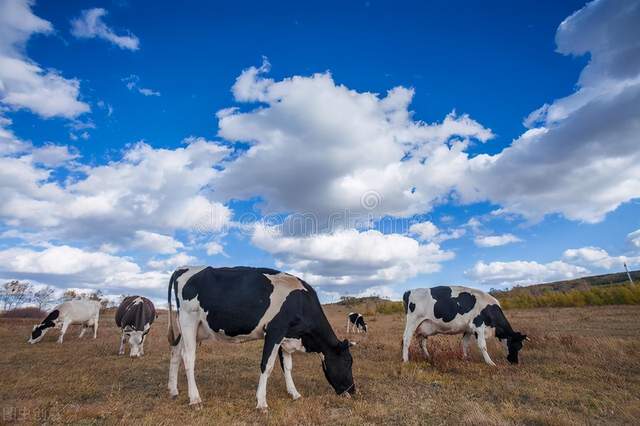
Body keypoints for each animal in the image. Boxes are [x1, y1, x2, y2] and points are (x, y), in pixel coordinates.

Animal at [166, 266, 356, 410]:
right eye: (348, 362)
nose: (353, 390)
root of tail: (183, 268)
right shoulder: (274, 331)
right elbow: (267, 366)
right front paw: (262, 402)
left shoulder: (287, 337)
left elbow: (287, 366)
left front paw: (294, 393)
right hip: (189, 319)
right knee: (188, 357)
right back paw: (195, 399)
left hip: (189, 327)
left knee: (175, 353)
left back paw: (173, 390)